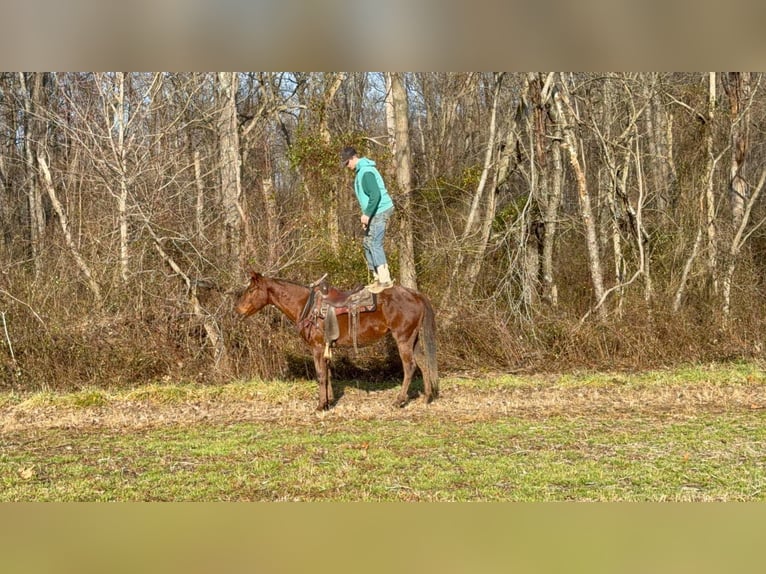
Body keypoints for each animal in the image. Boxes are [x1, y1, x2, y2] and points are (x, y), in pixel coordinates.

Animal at [235, 271, 439, 411]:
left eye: (251, 290)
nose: (238, 310)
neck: (306, 306)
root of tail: (415, 294)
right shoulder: (326, 347)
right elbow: (328, 373)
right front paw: (329, 401)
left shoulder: (317, 348)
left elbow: (320, 374)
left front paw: (320, 405)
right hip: (413, 338)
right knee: (423, 363)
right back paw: (427, 397)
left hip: (403, 338)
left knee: (410, 367)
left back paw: (399, 400)